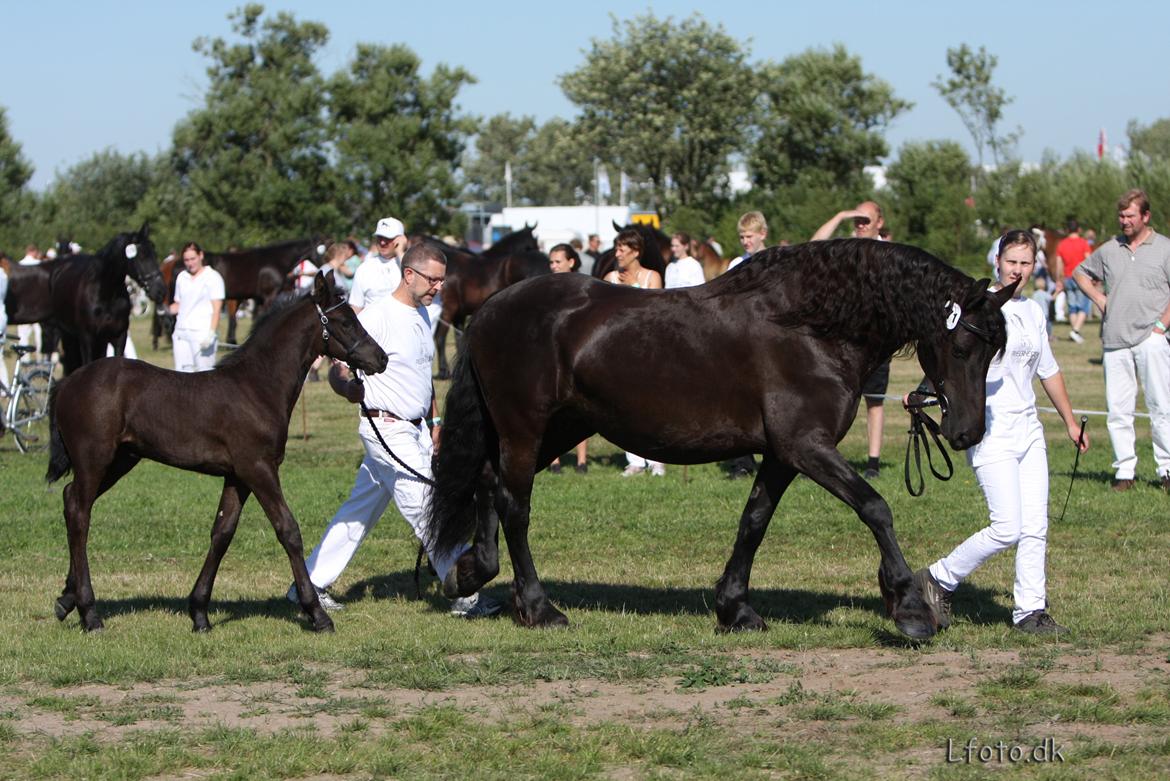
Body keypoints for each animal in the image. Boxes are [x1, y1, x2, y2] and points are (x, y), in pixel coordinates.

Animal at [45, 273, 386, 636]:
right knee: (79, 512)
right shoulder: (258, 468)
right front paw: (317, 614)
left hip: (121, 459)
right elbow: (288, 530)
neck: (257, 387)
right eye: (346, 322)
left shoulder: (238, 475)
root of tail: (67, 384)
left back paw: (67, 599)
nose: (381, 358)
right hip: (94, 458)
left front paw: (199, 613)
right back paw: (89, 612)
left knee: (71, 499)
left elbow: (222, 532)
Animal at [430, 239, 1015, 640]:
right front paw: (909, 607)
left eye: (994, 350)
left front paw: (735, 608)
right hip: (526, 428)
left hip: (562, 427)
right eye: (961, 345)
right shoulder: (807, 446)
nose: (967, 431)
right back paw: (538, 606)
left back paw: (471, 574)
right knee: (515, 506)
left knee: (488, 482)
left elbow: (753, 522)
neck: (810, 327)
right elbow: (876, 507)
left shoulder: (783, 454)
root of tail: (491, 309)